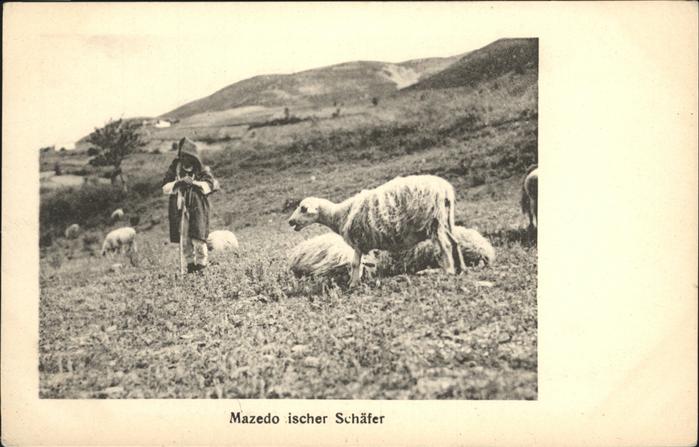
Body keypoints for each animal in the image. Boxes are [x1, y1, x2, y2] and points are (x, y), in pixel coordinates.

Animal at [288, 175, 466, 287]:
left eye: (303, 208)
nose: (290, 222)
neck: (338, 215)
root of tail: (445, 189)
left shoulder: (358, 241)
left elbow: (354, 263)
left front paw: (353, 284)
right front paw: (356, 280)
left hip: (433, 221)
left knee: (445, 246)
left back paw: (449, 271)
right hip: (445, 220)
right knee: (455, 242)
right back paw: (462, 268)